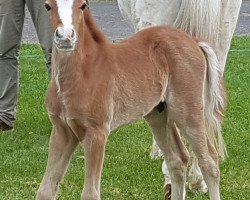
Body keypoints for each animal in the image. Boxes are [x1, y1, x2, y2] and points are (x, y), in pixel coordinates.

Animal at [36, 0, 227, 199]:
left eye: (83, 5)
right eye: (47, 6)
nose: (65, 37)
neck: (81, 73)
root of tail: (194, 41)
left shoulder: (96, 132)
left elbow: (90, 193)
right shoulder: (62, 132)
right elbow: (45, 190)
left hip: (188, 112)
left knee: (209, 161)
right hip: (159, 114)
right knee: (177, 159)